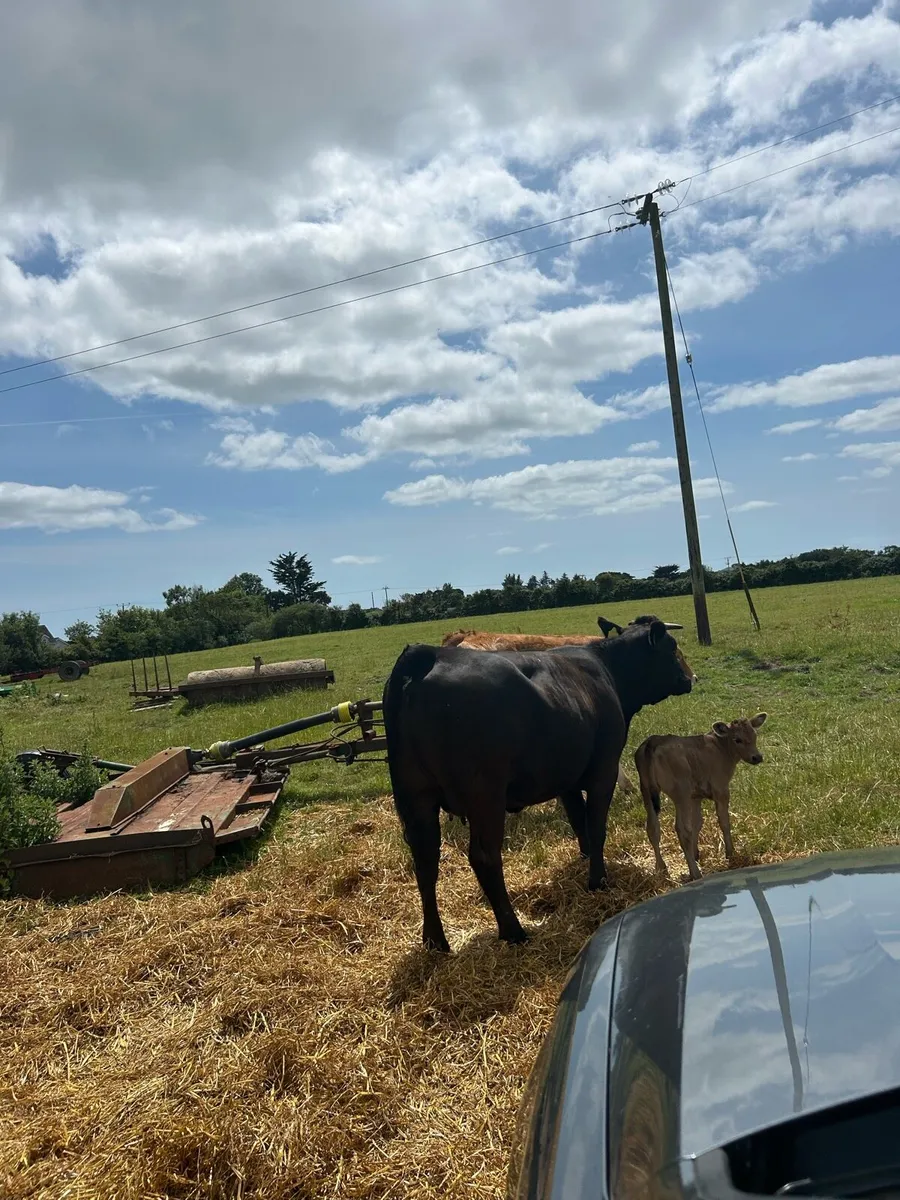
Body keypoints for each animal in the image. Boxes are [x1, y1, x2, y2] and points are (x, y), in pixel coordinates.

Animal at [383, 619, 694, 951]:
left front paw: (585, 859)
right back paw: (513, 930)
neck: (606, 669)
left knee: (425, 862)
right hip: (485, 797)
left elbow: (579, 821)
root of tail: (427, 655)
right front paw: (598, 880)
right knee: (484, 857)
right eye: (672, 647)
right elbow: (596, 826)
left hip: (416, 798)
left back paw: (435, 940)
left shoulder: (566, 777)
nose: (691, 677)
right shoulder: (603, 771)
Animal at [634, 713, 767, 882]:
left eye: (754, 735)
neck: (721, 748)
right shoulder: (720, 789)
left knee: (653, 828)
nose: (757, 757)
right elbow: (724, 821)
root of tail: (652, 742)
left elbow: (697, 823)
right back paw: (695, 873)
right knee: (682, 829)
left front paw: (696, 853)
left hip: (646, 790)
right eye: (737, 739)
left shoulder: (695, 796)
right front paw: (730, 853)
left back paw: (662, 868)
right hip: (680, 792)